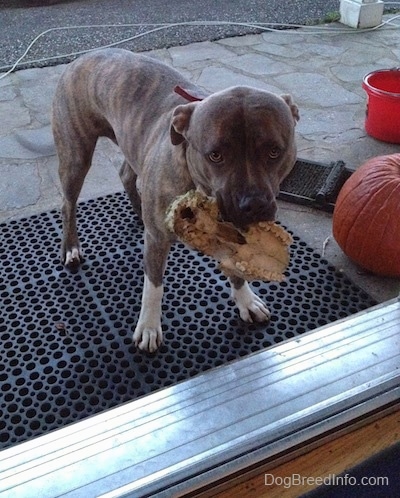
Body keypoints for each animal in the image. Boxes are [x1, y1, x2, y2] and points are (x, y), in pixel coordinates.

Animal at [51, 46, 298, 352]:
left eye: (275, 151)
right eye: (215, 155)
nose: (252, 205)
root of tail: (86, 56)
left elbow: (237, 271)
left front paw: (246, 301)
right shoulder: (157, 242)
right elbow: (154, 286)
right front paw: (148, 326)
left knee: (126, 173)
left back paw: (138, 210)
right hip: (75, 156)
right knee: (68, 204)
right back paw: (71, 247)